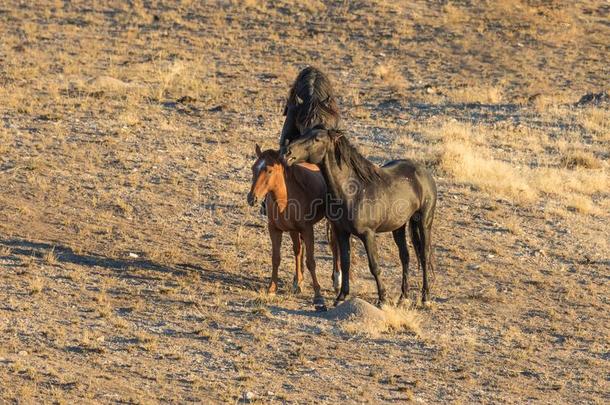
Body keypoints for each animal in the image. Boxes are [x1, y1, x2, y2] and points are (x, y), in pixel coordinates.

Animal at [245, 145, 340, 310]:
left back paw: (337, 281)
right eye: (253, 168)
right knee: (298, 249)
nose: (252, 198)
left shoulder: (307, 230)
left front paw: (318, 296)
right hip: (293, 230)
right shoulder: (275, 230)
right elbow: (276, 258)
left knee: (335, 246)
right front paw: (272, 289)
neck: (286, 198)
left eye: (269, 170)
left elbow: (311, 261)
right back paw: (298, 281)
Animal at [282, 130, 434, 306]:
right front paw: (341, 296)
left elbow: (374, 266)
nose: (287, 152)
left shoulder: (368, 234)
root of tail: (423, 171)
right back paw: (404, 297)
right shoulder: (341, 232)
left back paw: (425, 297)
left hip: (424, 222)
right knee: (405, 257)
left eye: (317, 139)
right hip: (398, 227)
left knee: (424, 255)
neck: (352, 191)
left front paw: (382, 299)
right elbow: (345, 263)